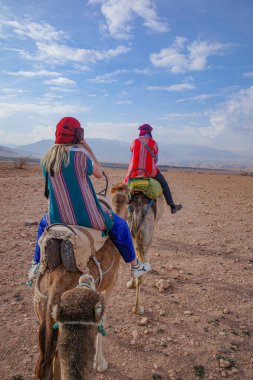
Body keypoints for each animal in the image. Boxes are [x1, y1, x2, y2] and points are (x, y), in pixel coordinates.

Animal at [33, 239, 120, 378]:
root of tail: (55, 285)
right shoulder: (108, 288)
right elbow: (103, 320)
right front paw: (100, 364)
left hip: (41, 307)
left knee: (46, 361)